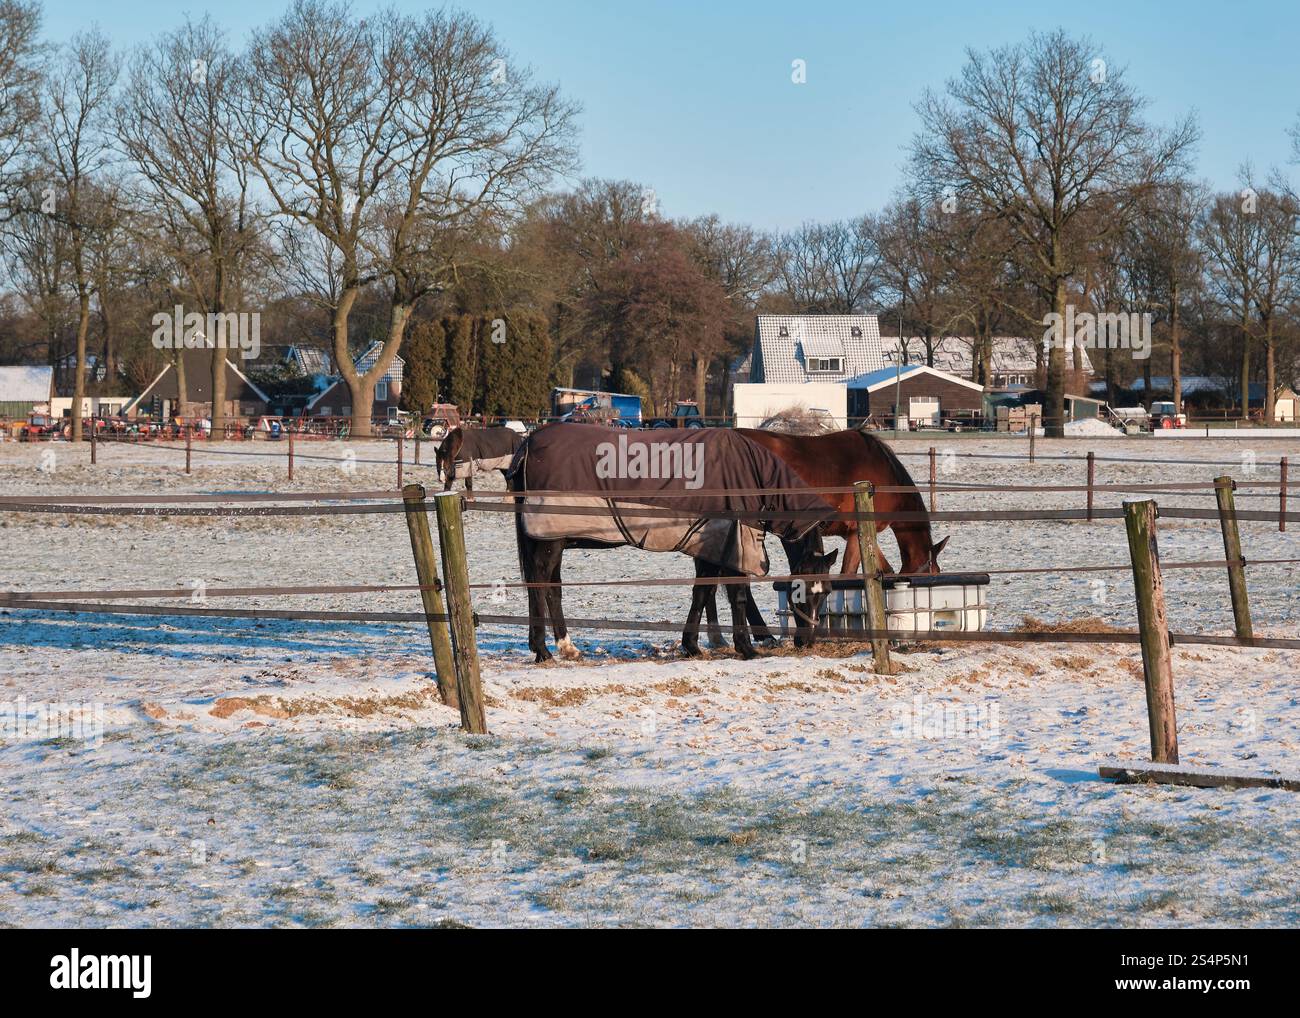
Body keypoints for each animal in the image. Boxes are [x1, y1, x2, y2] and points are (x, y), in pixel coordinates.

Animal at [509, 424, 838, 662]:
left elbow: (702, 592)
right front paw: (746, 647)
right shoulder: (736, 542)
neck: (751, 474)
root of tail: (528, 443)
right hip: (550, 540)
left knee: (552, 588)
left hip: (552, 539)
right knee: (540, 582)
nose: (807, 641)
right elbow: (738, 596)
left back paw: (566, 647)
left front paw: (692, 645)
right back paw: (542, 649)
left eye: (826, 592)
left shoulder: (711, 545)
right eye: (799, 592)